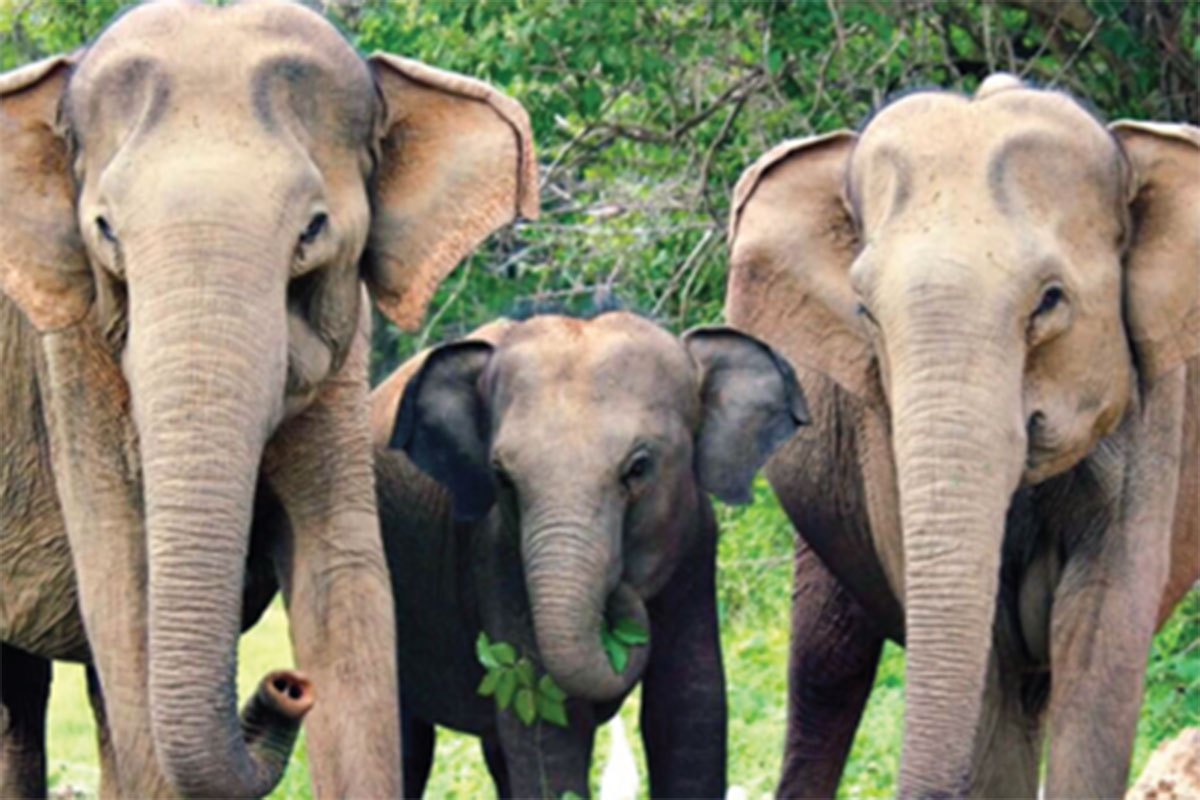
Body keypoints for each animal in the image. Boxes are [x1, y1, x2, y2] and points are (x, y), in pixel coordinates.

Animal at [0, 3, 535, 796]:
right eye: (105, 231)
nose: (286, 686)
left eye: (313, 228)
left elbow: (345, 583)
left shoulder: (346, 358)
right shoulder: (69, 362)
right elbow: (122, 589)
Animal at [369, 311, 811, 800]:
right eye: (501, 477)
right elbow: (544, 715)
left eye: (638, 467)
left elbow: (689, 703)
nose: (621, 591)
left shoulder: (696, 547)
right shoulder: (498, 554)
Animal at [724, 71, 1195, 796]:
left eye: (1050, 299)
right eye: (864, 311)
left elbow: (1100, 638)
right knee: (827, 669)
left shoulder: (1154, 409)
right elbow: (989, 662)